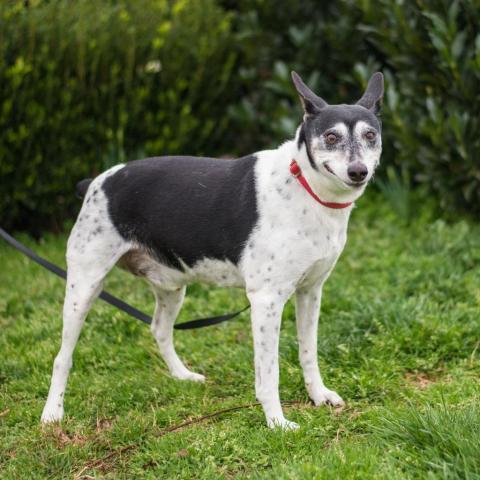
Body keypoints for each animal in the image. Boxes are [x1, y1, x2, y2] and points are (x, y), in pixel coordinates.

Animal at [42, 70, 386, 428]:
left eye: (370, 135)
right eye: (331, 137)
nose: (358, 171)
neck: (307, 188)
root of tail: (95, 182)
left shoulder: (310, 292)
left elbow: (309, 352)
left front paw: (318, 395)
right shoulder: (267, 301)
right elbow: (269, 373)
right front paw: (276, 422)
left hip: (172, 287)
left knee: (159, 328)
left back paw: (182, 375)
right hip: (84, 287)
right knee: (62, 357)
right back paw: (53, 412)